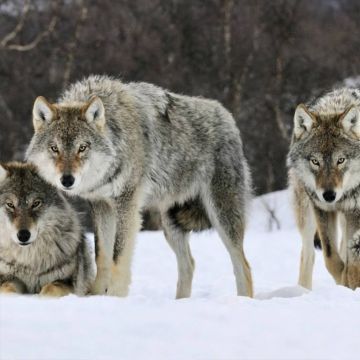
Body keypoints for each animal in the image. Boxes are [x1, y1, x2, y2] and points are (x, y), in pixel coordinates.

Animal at [0, 162, 94, 296]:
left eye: (36, 203)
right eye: (10, 205)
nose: (23, 235)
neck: (29, 260)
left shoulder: (67, 282)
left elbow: (50, 289)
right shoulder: (7, 278)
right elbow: (8, 288)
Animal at [26, 75, 253, 298]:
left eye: (82, 148)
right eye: (54, 148)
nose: (67, 180)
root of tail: (227, 116)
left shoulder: (127, 203)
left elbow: (118, 256)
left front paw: (115, 297)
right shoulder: (101, 205)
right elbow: (102, 255)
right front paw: (96, 295)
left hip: (221, 216)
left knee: (243, 265)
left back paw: (243, 300)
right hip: (171, 224)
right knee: (189, 264)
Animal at [288, 88, 360, 292]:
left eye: (341, 160)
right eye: (315, 161)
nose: (329, 195)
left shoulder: (355, 211)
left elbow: (353, 264)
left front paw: (351, 284)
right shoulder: (322, 209)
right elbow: (331, 258)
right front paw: (344, 282)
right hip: (306, 214)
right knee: (308, 254)